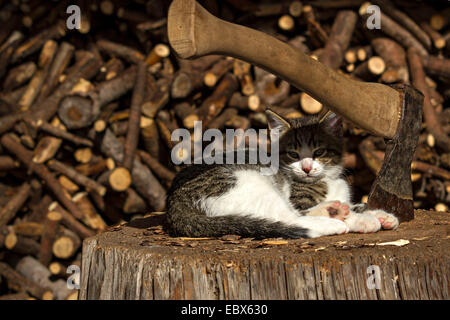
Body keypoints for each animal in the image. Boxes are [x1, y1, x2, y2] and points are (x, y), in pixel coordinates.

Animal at [167, 109, 400, 239]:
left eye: (319, 152)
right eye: (293, 154)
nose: (306, 168)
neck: (327, 180)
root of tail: (173, 203)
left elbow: (353, 204)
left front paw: (380, 214)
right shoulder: (297, 198)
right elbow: (303, 210)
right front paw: (364, 219)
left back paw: (334, 210)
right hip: (248, 182)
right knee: (287, 218)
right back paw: (333, 220)